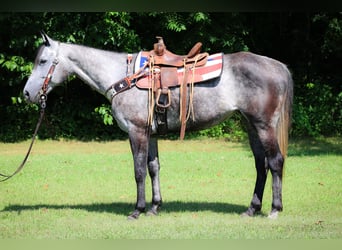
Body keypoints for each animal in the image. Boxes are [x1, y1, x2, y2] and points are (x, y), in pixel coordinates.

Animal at [24, 33, 292, 219]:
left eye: (43, 61)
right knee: (261, 165)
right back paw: (251, 209)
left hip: (264, 125)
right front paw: (154, 206)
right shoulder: (149, 133)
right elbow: (153, 168)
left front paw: (137, 210)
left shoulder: (136, 131)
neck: (123, 77)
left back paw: (274, 209)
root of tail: (276, 65)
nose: (26, 93)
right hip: (251, 125)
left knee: (275, 161)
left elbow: (139, 171)